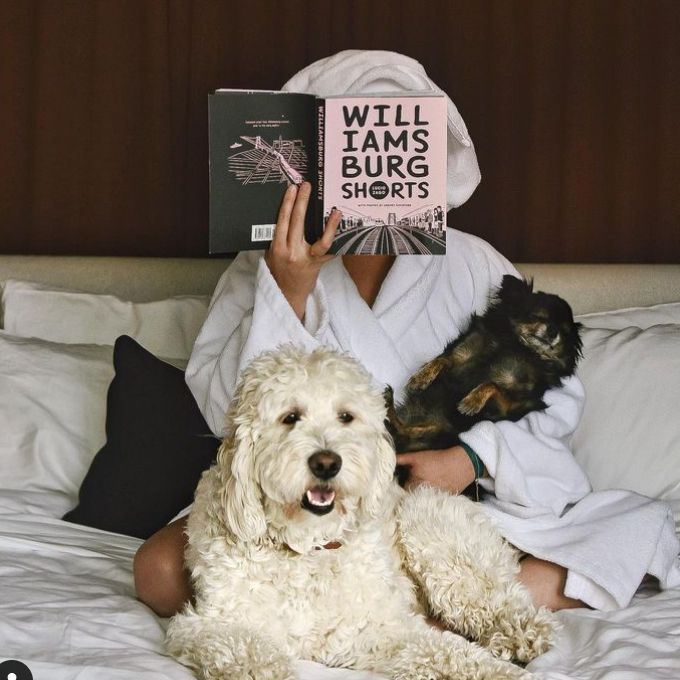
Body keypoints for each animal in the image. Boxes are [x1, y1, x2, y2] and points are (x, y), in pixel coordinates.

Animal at [167, 348, 556, 676]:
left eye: (346, 417)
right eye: (290, 417)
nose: (327, 463)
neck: (308, 549)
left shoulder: (376, 628)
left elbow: (452, 652)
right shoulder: (207, 623)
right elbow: (244, 649)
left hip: (429, 529)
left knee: (497, 600)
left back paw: (523, 632)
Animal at [386, 274, 580, 486]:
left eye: (564, 332)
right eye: (537, 316)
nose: (553, 332)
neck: (518, 346)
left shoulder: (508, 408)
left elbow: (492, 384)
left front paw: (472, 401)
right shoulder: (461, 355)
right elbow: (444, 359)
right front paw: (421, 378)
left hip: (443, 433)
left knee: (404, 431)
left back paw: (389, 407)